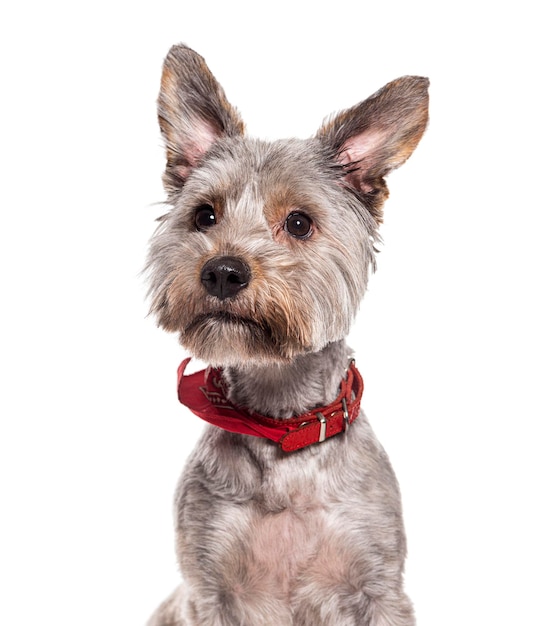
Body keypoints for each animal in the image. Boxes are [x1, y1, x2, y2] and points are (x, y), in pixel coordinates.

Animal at [148, 44, 430, 624]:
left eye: (299, 223)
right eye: (204, 215)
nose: (222, 272)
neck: (281, 425)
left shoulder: (379, 587)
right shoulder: (207, 589)